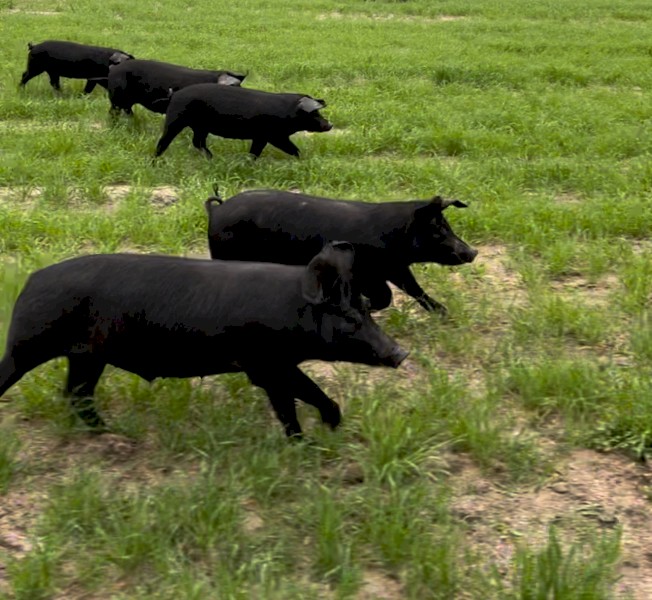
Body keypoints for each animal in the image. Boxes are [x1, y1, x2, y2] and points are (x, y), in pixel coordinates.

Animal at [0, 244, 407, 438]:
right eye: (349, 318)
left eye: (365, 307)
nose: (401, 353)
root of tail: (31, 281)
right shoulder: (264, 364)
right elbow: (295, 400)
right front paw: (315, 435)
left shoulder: (274, 366)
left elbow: (295, 401)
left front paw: (319, 432)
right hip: (27, 345)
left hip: (87, 356)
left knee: (76, 393)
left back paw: (109, 432)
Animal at [154, 84, 332, 159]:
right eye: (314, 113)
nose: (329, 124)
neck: (288, 112)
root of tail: (174, 95)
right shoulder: (273, 136)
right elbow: (291, 149)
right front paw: (301, 158)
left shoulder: (262, 137)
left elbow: (255, 151)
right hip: (176, 119)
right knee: (164, 140)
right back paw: (155, 161)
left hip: (200, 127)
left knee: (197, 142)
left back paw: (212, 158)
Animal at [205, 190, 478, 315]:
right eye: (437, 231)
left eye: (447, 226)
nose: (473, 252)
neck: (392, 238)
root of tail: (216, 211)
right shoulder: (369, 273)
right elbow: (386, 296)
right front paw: (364, 307)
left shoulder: (395, 268)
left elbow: (414, 289)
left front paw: (445, 313)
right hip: (226, 252)